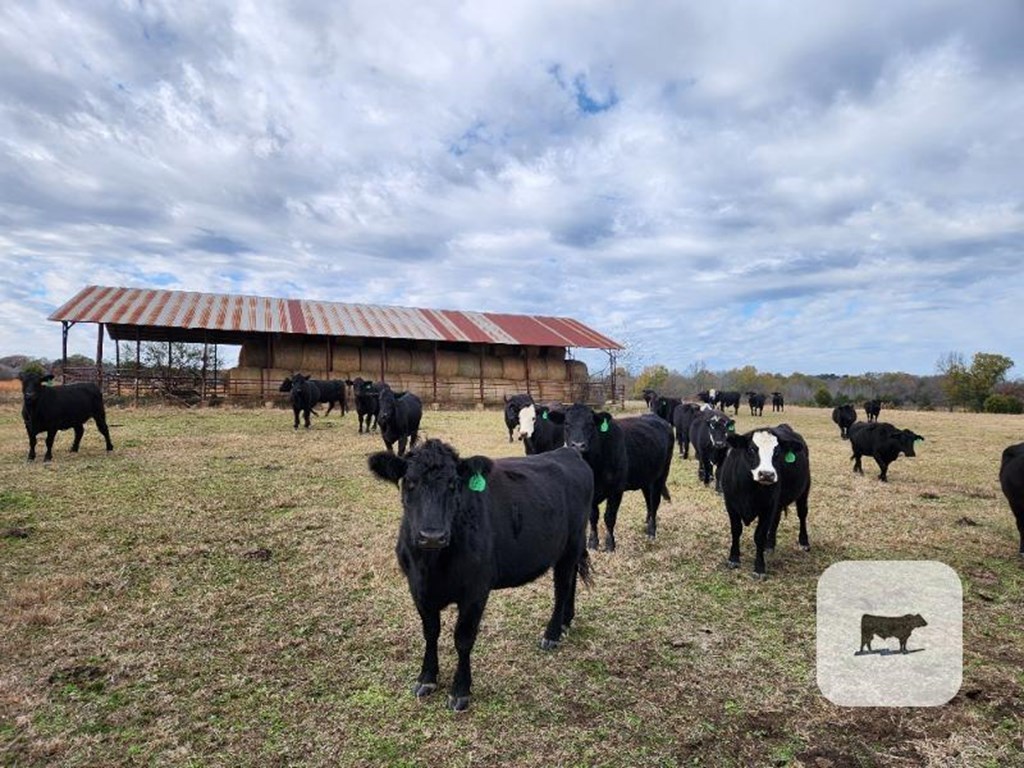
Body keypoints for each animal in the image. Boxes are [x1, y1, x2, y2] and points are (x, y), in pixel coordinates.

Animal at [368, 442, 593, 712]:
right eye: (410, 482)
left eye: (454, 484)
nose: (432, 536)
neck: (431, 566)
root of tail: (567, 451)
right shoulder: (418, 588)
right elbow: (430, 632)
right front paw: (427, 678)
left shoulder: (476, 590)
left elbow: (463, 639)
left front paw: (460, 690)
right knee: (571, 582)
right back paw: (566, 622)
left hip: (572, 543)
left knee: (562, 587)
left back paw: (552, 634)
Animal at [548, 403, 675, 552]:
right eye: (567, 424)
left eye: (591, 424)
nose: (578, 445)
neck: (594, 468)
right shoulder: (591, 492)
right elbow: (593, 517)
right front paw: (593, 543)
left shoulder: (616, 490)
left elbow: (609, 517)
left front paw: (609, 545)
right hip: (646, 478)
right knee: (648, 501)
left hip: (661, 475)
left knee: (654, 502)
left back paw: (651, 531)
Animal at [716, 423, 811, 581]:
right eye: (751, 449)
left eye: (777, 452)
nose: (767, 474)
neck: (749, 489)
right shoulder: (731, 505)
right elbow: (736, 530)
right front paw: (734, 559)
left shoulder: (767, 508)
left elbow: (759, 536)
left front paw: (759, 568)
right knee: (776, 519)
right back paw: (770, 545)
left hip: (804, 491)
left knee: (802, 515)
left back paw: (804, 542)